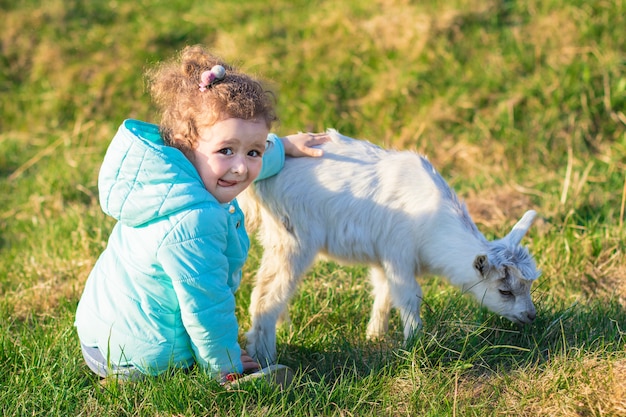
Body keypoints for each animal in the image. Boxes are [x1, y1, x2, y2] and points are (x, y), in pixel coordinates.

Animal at [241, 130, 540, 364]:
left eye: (528, 286)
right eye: (504, 291)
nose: (531, 316)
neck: (432, 220)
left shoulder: (384, 257)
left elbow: (384, 293)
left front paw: (375, 335)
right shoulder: (399, 254)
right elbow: (408, 297)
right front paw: (416, 344)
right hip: (291, 239)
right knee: (266, 294)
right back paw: (265, 357)